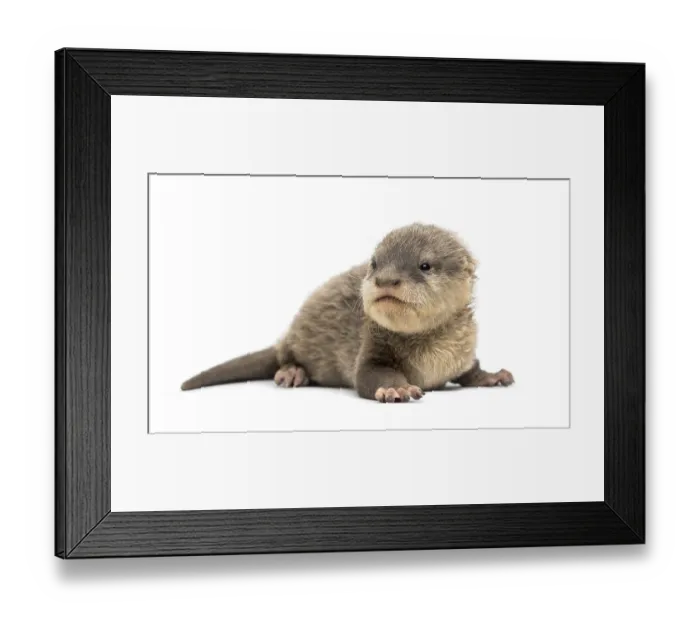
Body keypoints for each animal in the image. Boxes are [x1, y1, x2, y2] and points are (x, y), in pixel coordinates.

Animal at [181, 223, 514, 402]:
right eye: (375, 263)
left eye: (425, 265)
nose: (385, 279)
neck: (434, 356)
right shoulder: (371, 346)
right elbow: (367, 374)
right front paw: (396, 388)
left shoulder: (462, 351)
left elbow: (470, 370)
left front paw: (493, 376)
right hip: (295, 337)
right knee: (285, 354)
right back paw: (291, 373)